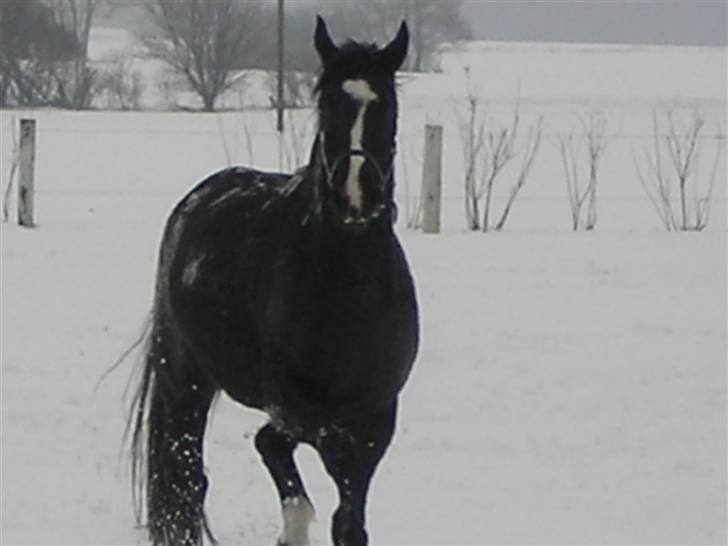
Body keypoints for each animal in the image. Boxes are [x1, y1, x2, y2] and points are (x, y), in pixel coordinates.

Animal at [128, 14, 418, 544]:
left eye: (386, 104)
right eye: (327, 103)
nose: (356, 196)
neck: (351, 295)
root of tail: (198, 198)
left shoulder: (377, 415)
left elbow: (349, 517)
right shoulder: (298, 408)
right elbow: (292, 451)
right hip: (186, 377)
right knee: (187, 477)